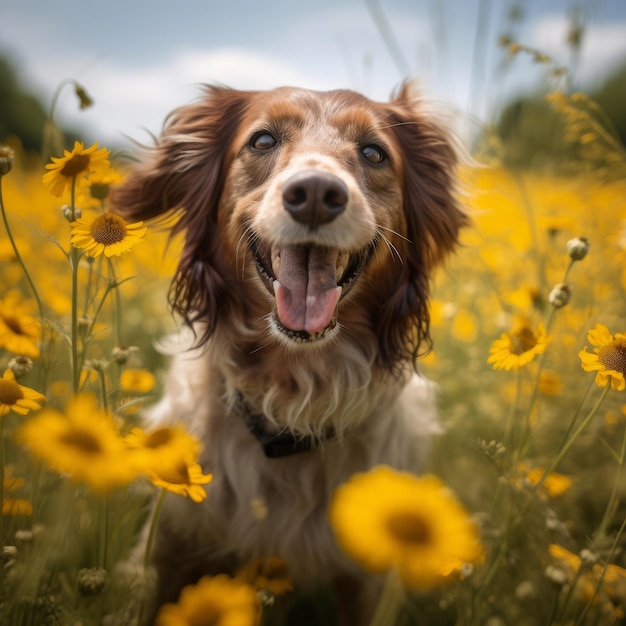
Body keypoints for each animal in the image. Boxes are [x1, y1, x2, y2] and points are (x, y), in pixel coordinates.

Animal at [111, 81, 464, 620]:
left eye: (373, 152)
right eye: (262, 141)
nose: (316, 194)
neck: (295, 401)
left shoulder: (368, 583)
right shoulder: (167, 548)